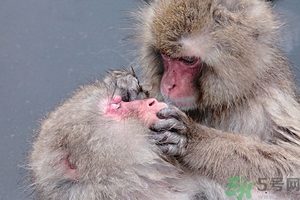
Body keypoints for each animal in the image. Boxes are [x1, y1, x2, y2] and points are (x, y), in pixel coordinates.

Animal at [132, 0, 300, 197]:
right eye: (166, 56)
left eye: (188, 60)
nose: (168, 84)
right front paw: (124, 85)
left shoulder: (268, 100)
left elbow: (293, 159)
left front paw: (192, 139)